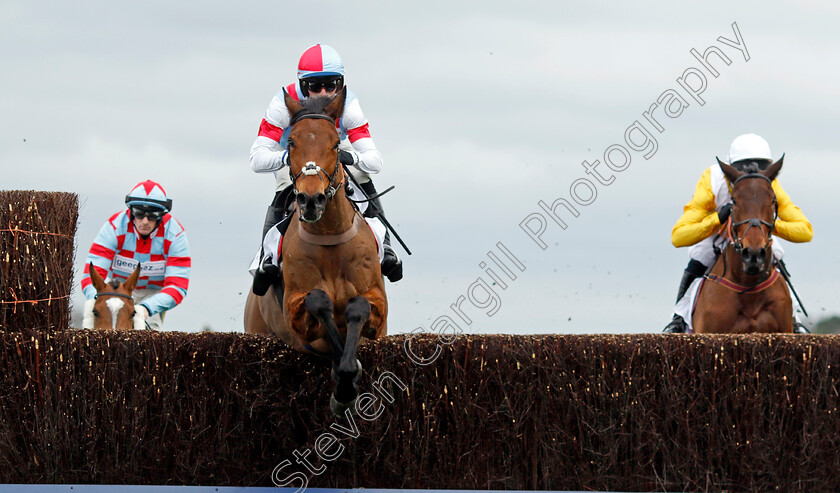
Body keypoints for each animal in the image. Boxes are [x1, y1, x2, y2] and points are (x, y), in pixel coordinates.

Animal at [243, 88, 388, 416]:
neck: (330, 237)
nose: (311, 200)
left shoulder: (378, 307)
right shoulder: (295, 312)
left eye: (335, 143)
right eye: (292, 142)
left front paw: (348, 375)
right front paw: (345, 384)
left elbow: (358, 306)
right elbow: (319, 301)